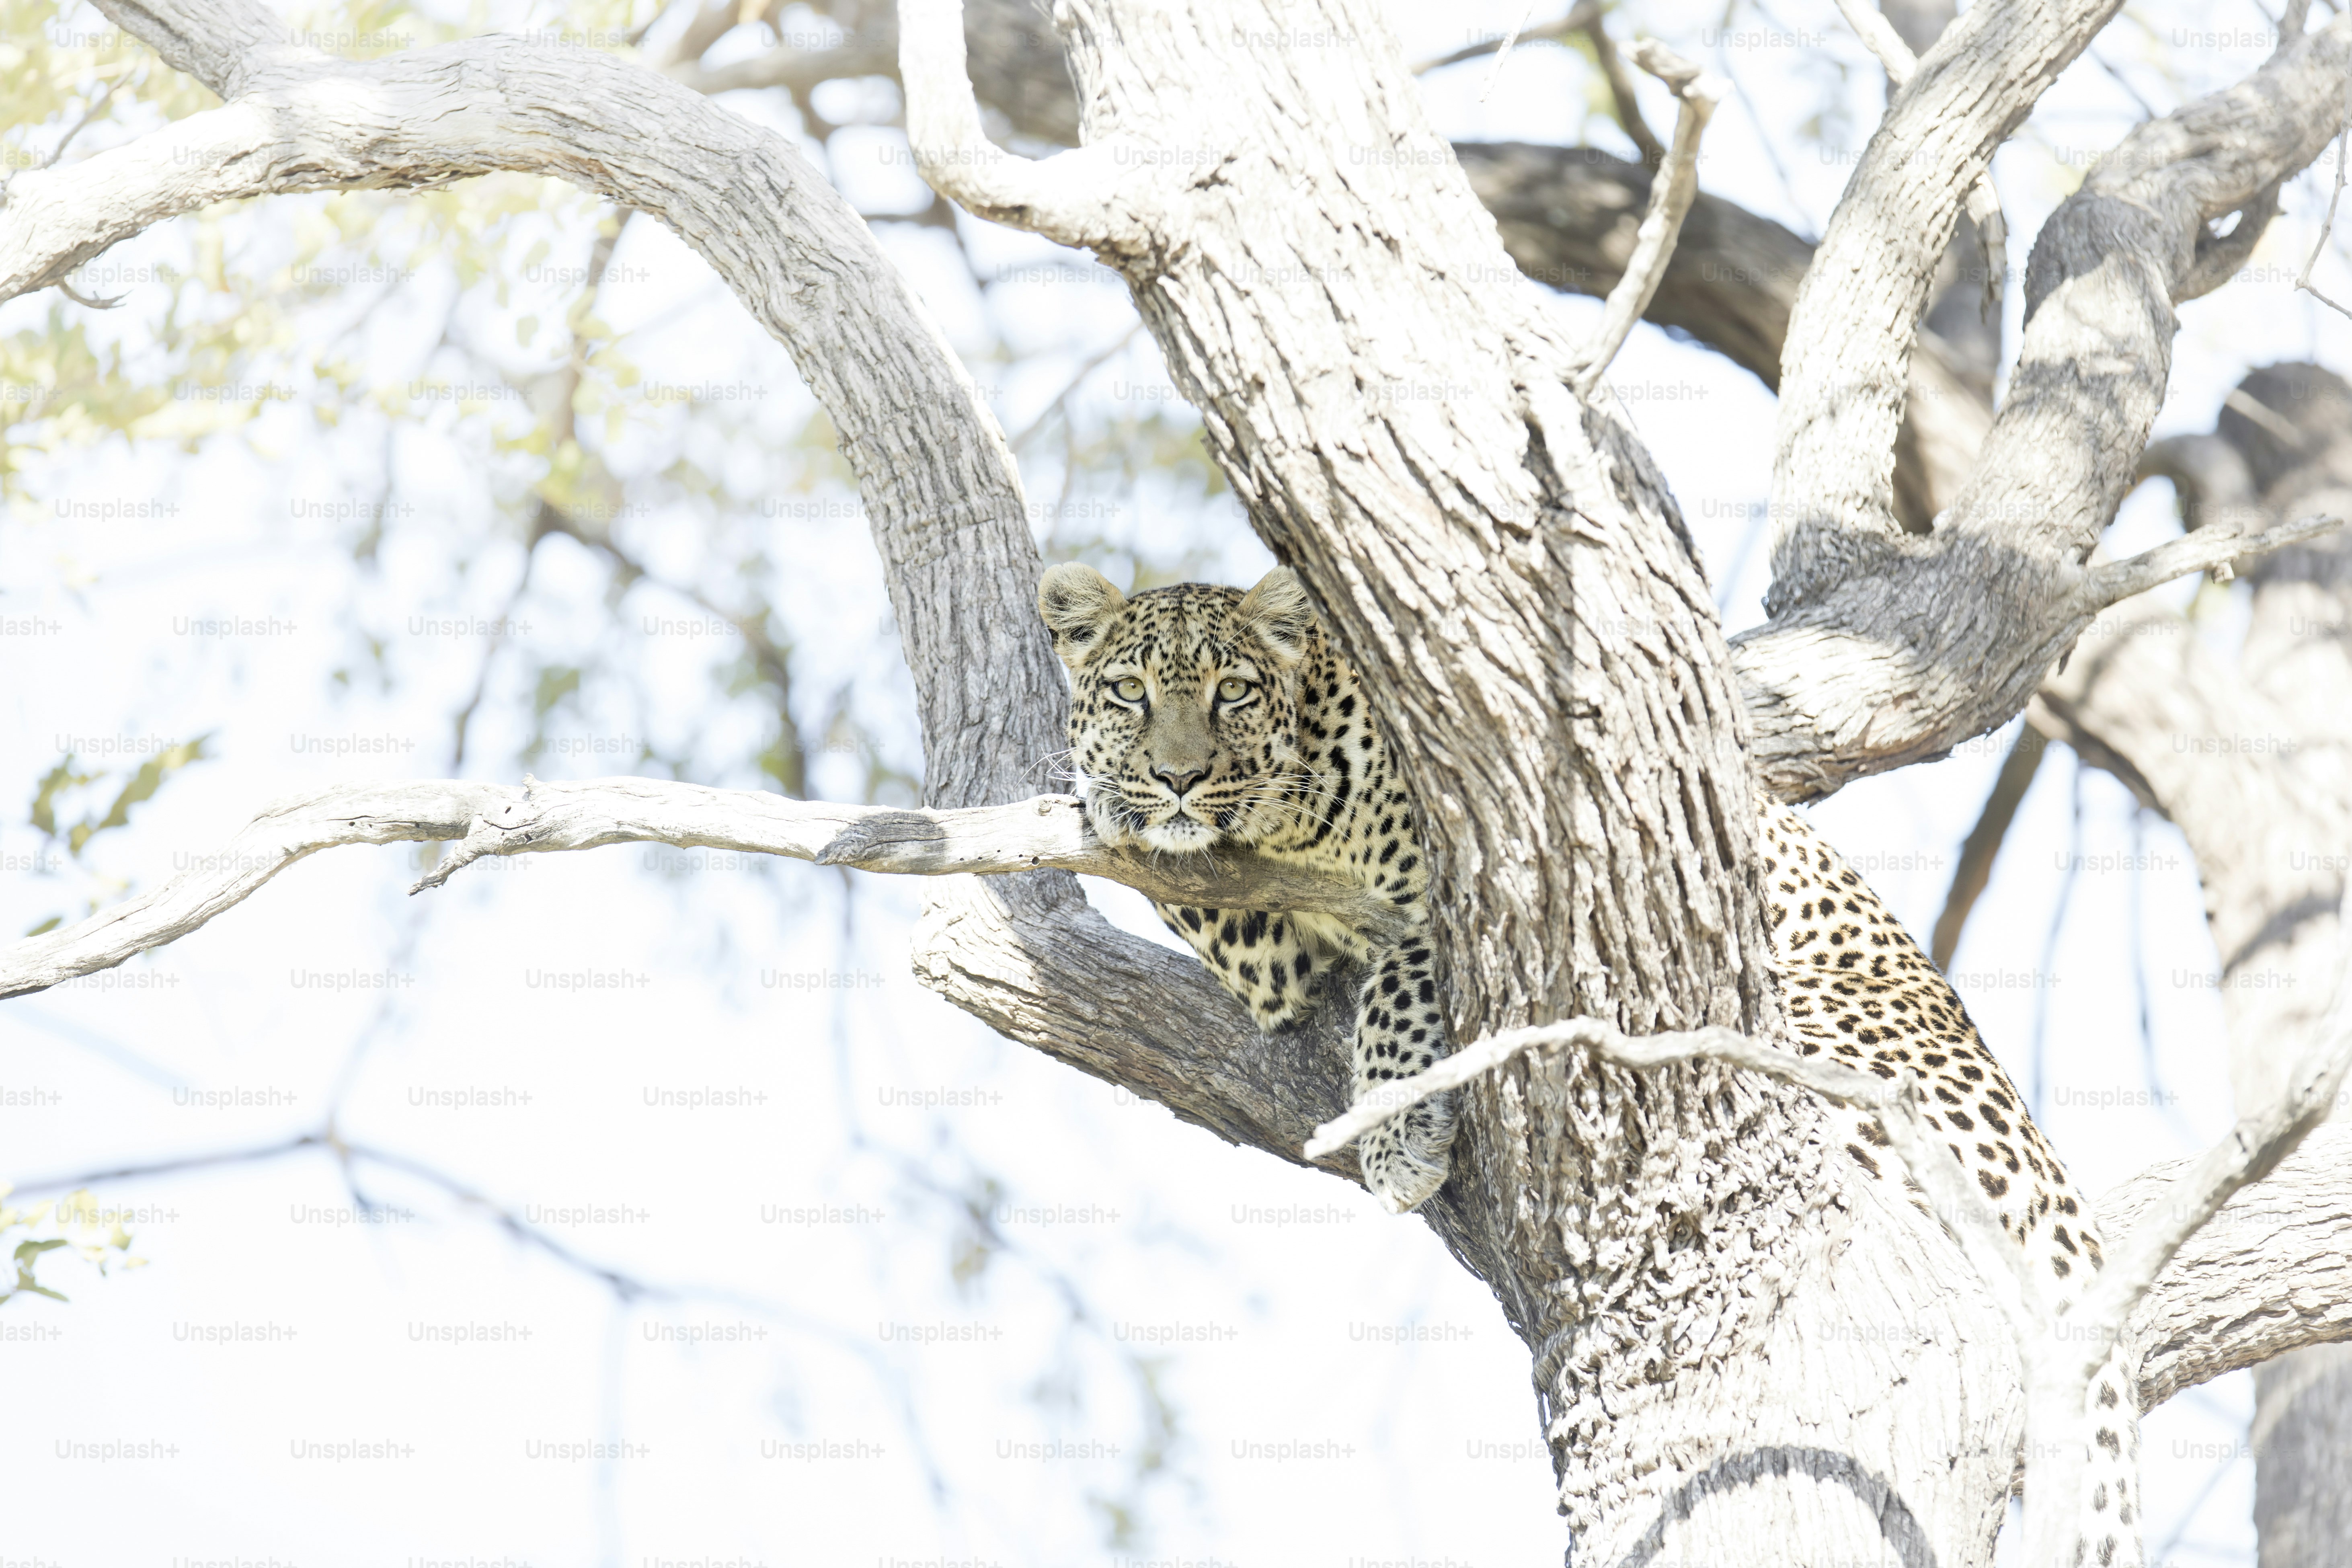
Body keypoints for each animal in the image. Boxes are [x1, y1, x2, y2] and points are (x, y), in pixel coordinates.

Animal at [1039, 564, 2139, 1560]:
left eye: (1232, 691)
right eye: (1130, 692)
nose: (1178, 776)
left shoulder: (1471, 896)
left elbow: (1400, 967)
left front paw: (1396, 1129)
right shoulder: (1269, 947)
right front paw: (1107, 791)